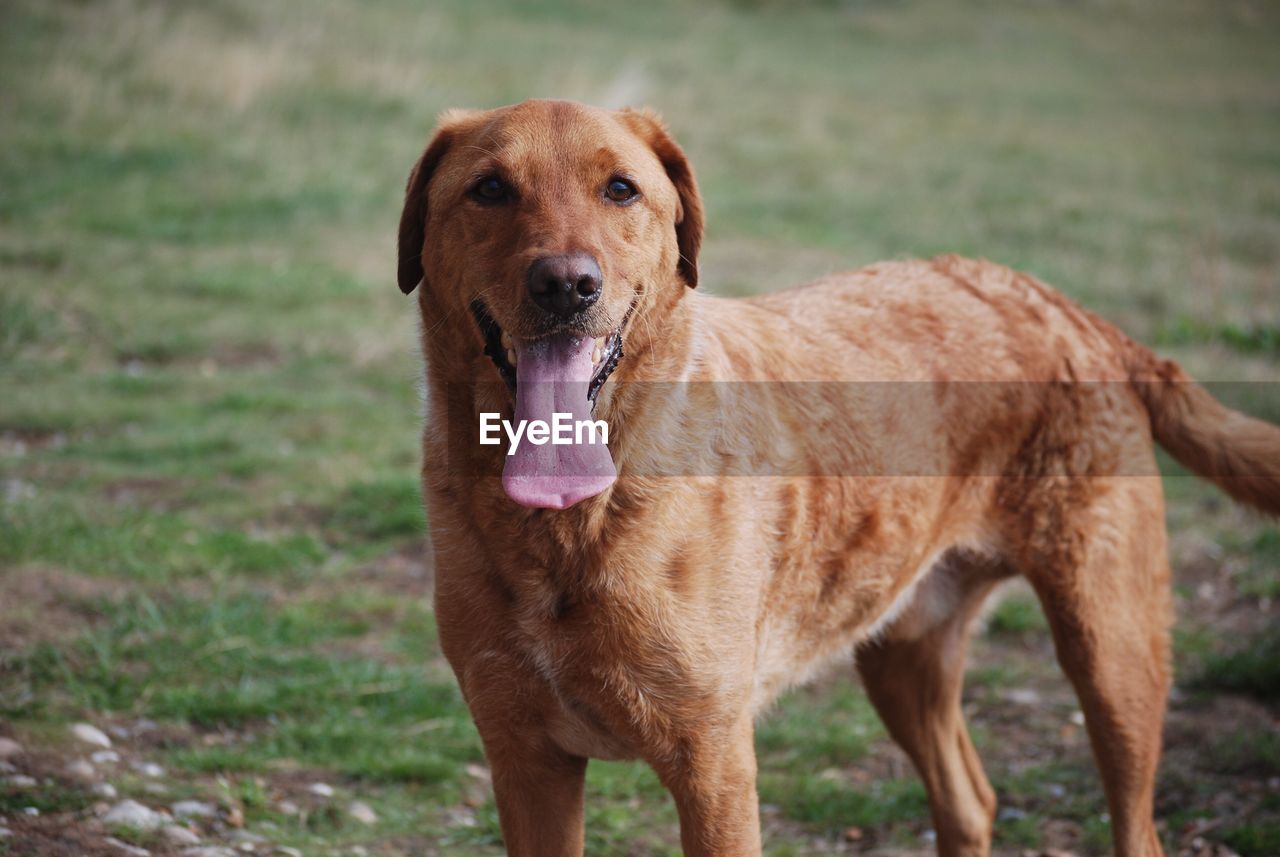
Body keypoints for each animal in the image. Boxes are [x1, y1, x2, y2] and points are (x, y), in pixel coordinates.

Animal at [396, 97, 1280, 854]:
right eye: (489, 189)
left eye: (621, 189)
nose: (566, 285)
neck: (566, 522)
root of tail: (1075, 310)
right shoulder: (525, 761)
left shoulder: (713, 762)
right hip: (901, 650)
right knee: (971, 801)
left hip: (1112, 649)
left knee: (1133, 819)